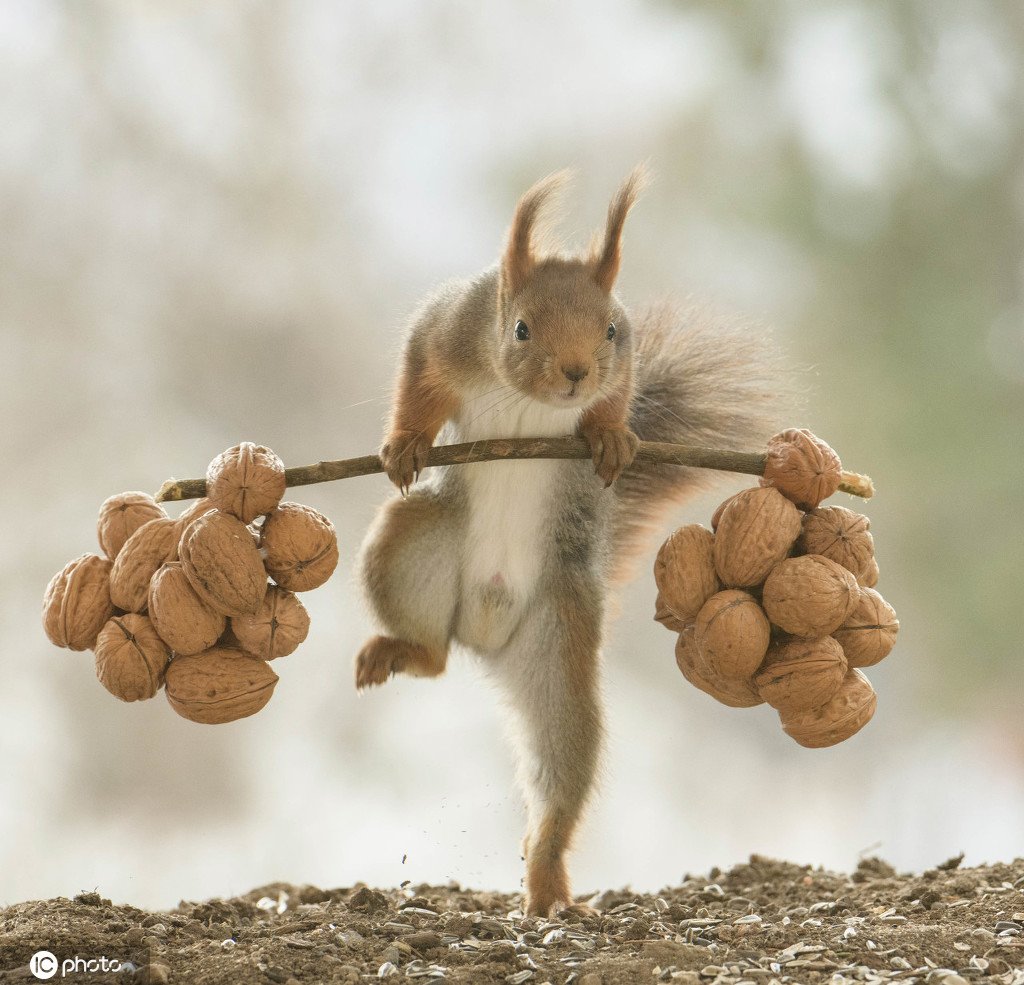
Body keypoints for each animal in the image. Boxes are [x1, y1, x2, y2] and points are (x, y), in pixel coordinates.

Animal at [356, 168, 783, 917]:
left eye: (610, 328)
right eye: (521, 328)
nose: (577, 372)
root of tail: (483, 631)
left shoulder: (625, 360)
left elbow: (619, 400)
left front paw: (610, 436)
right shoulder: (446, 329)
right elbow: (419, 380)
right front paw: (405, 443)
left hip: (559, 640)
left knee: (560, 766)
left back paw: (548, 881)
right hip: (409, 545)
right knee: (431, 654)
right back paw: (407, 649)